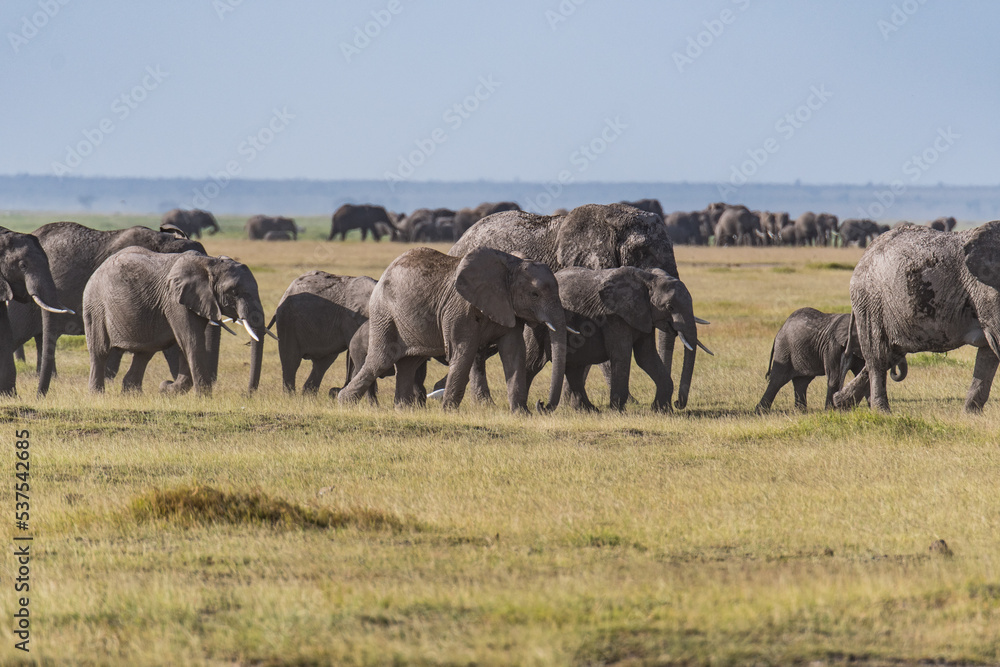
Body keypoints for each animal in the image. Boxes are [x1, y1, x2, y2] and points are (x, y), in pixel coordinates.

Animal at [83, 248, 268, 395]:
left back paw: (132, 395)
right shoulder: (176, 301)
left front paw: (167, 389)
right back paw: (97, 395)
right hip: (95, 306)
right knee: (100, 351)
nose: (246, 395)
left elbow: (186, 343)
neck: (209, 263)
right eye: (234, 292)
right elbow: (191, 341)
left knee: (144, 353)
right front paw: (203, 398)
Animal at [338, 247, 568, 413]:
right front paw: (448, 412)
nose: (542, 405)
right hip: (385, 314)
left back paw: (403, 410)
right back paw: (345, 403)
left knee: (408, 363)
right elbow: (464, 351)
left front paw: (521, 414)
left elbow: (514, 352)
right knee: (381, 359)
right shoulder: (459, 308)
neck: (511, 264)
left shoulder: (508, 308)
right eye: (534, 294)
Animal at [524, 266, 709, 412]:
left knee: (574, 367)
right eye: (670, 307)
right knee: (533, 364)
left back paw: (589, 410)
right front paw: (617, 411)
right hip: (536, 327)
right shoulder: (613, 317)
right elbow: (623, 355)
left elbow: (646, 357)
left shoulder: (642, 315)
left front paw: (660, 410)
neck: (648, 279)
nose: (678, 403)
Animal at [756, 307, 906, 412]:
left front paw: (872, 409)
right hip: (784, 351)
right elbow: (835, 377)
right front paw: (830, 411)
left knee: (801, 382)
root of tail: (779, 331)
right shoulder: (833, 347)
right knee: (777, 380)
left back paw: (800, 412)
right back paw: (760, 412)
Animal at [833, 222, 1000, 413]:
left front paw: (970, 415)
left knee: (891, 353)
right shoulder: (987, 289)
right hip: (870, 300)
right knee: (877, 355)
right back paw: (882, 411)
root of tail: (865, 254)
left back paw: (840, 403)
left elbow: (989, 353)